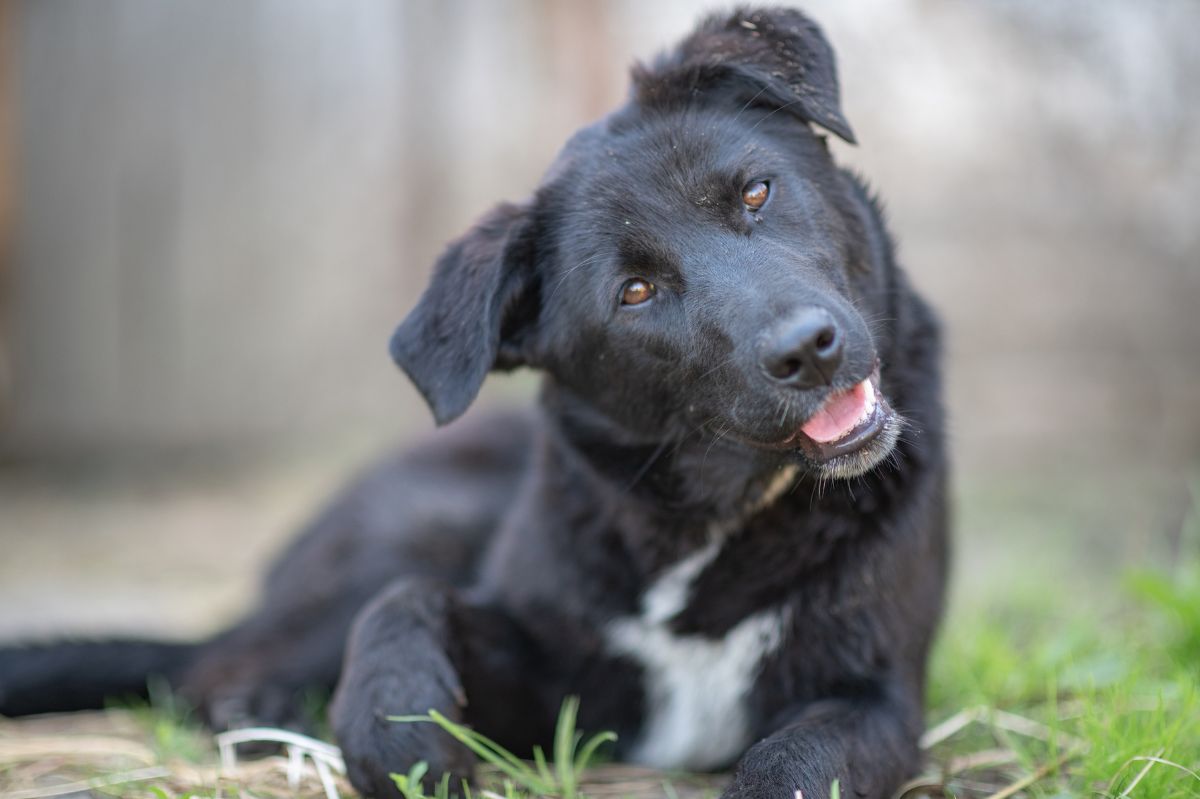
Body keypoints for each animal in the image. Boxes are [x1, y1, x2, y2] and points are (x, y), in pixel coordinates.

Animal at [0, 7, 940, 796]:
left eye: (755, 192)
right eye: (635, 292)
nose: (807, 348)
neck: (708, 523)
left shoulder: (878, 695)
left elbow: (789, 761)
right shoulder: (554, 681)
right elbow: (405, 605)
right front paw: (394, 732)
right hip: (422, 521)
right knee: (223, 664)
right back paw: (269, 707)